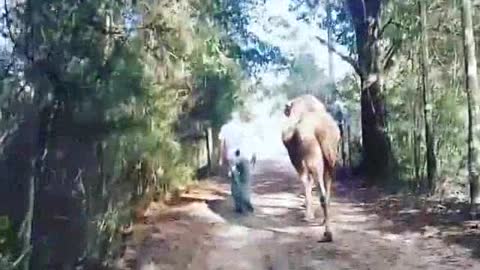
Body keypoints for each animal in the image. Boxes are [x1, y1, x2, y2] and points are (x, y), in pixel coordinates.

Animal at [282, 94, 342, 240]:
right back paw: (325, 224)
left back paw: (327, 234)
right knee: (327, 186)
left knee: (318, 188)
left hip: (312, 154)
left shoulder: (297, 161)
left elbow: (306, 181)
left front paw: (308, 215)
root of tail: (321, 129)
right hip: (331, 158)